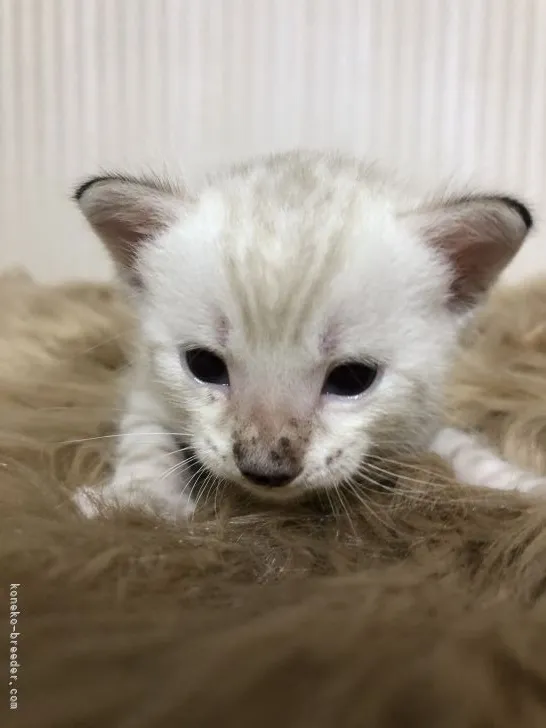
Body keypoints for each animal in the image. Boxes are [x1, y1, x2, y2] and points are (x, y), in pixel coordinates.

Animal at [71, 151, 540, 520]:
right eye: (204, 366)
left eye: (352, 379)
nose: (264, 469)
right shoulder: (146, 389)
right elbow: (145, 442)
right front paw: (139, 501)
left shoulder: (421, 419)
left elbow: (461, 446)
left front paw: (517, 483)